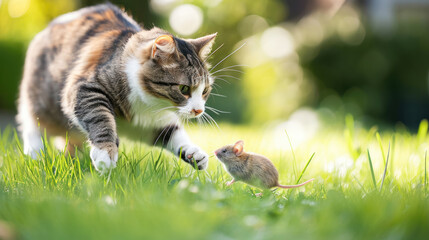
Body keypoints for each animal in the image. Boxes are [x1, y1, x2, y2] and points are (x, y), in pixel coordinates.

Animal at [16, 3, 217, 172]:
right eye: (184, 89)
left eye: (205, 90)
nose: (199, 110)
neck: (150, 103)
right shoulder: (84, 88)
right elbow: (101, 119)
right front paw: (105, 153)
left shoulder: (151, 122)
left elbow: (172, 133)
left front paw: (193, 153)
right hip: (44, 103)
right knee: (32, 122)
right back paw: (35, 154)